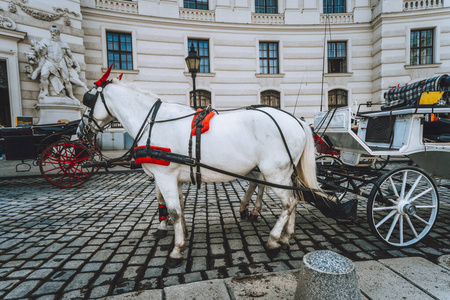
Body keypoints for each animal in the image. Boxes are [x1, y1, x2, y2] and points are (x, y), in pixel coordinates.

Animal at [80, 73, 320, 268]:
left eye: (87, 99)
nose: (80, 130)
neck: (153, 122)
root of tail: (297, 121)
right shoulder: (173, 178)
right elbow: (179, 207)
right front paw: (183, 235)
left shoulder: (164, 176)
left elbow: (174, 211)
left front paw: (176, 250)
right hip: (282, 174)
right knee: (293, 200)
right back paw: (286, 236)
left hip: (274, 173)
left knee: (288, 203)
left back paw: (273, 240)